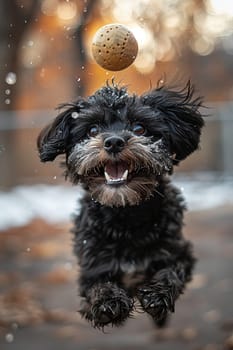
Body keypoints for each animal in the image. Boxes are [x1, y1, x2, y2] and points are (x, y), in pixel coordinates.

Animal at [36, 80, 204, 330]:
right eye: (93, 130)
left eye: (139, 128)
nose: (114, 141)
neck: (125, 215)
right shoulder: (93, 265)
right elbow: (98, 285)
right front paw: (109, 301)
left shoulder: (178, 251)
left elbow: (171, 271)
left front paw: (158, 294)